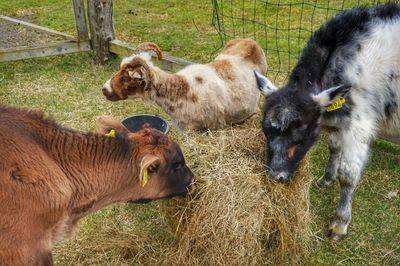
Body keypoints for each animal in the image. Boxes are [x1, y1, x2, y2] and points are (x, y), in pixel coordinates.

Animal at [256, 3, 400, 241]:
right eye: (265, 131)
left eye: (303, 133)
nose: (277, 176)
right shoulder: (336, 120)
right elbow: (334, 148)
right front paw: (326, 178)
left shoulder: (360, 122)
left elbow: (348, 174)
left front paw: (340, 223)